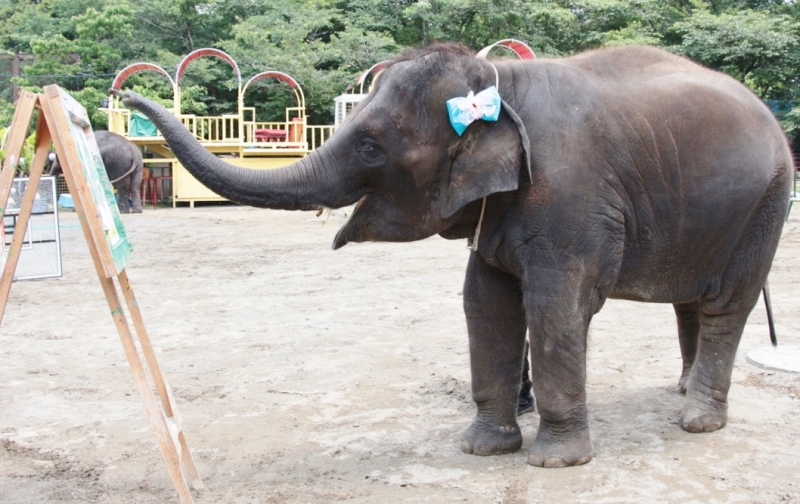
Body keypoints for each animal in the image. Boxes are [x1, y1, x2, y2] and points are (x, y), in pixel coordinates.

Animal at [117, 44, 792, 468]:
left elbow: (556, 307)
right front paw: (482, 449)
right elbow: (485, 303)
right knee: (691, 302)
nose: (127, 97)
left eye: (370, 145)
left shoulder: (571, 197)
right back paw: (681, 392)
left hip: (768, 202)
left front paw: (555, 463)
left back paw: (698, 421)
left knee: (726, 306)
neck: (501, 83)